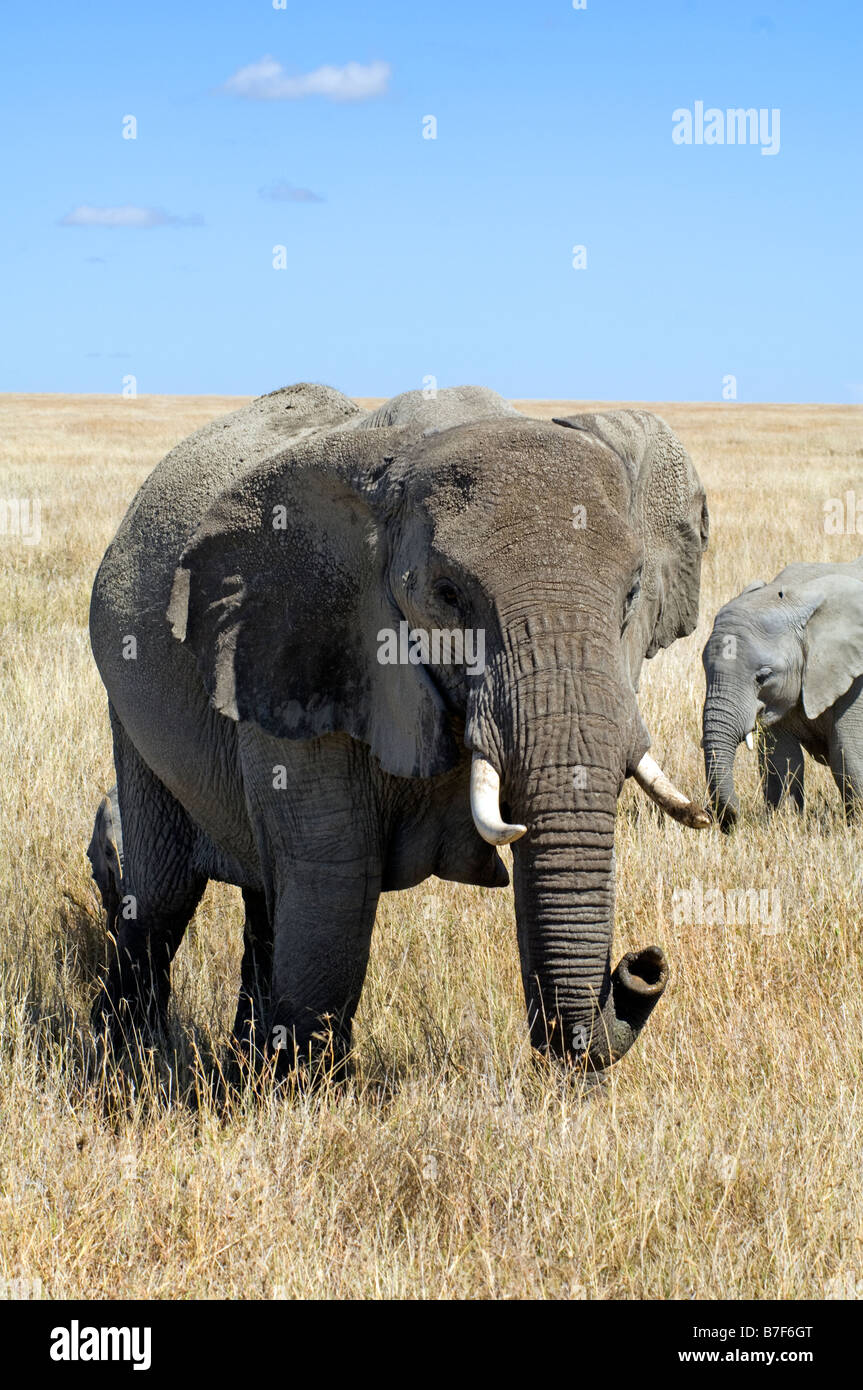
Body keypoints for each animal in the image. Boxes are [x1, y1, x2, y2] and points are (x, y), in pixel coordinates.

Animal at [88, 380, 705, 1073]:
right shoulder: (304, 648)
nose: (645, 965)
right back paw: (124, 1062)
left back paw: (240, 1062)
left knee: (263, 901)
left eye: (632, 595)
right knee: (163, 895)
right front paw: (305, 1090)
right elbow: (333, 880)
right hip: (130, 698)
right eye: (447, 594)